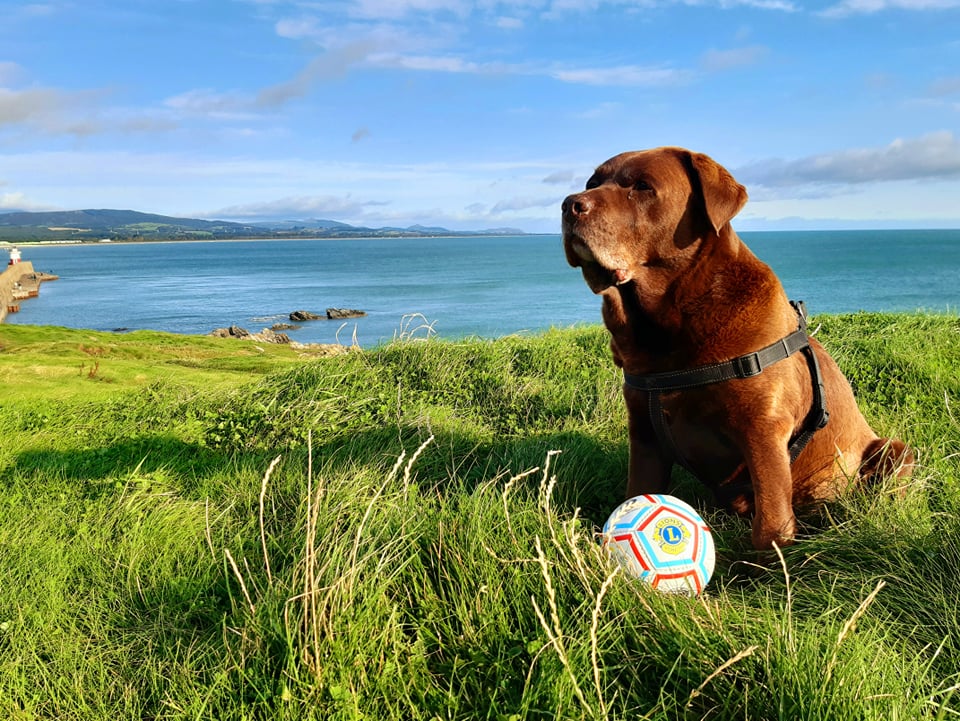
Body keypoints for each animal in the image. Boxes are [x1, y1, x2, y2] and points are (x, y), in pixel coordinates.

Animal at [564, 149, 916, 548]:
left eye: (642, 186)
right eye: (592, 182)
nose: (570, 204)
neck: (668, 331)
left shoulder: (762, 430)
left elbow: (772, 521)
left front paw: (765, 563)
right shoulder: (643, 433)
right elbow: (635, 494)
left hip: (894, 452)